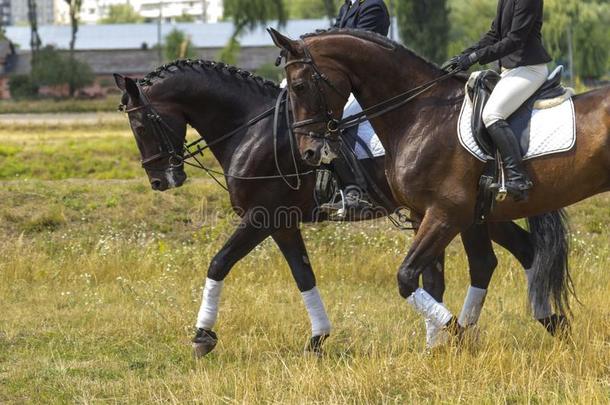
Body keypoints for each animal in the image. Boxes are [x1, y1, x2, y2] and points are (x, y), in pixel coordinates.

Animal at [272, 27, 608, 326]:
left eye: (299, 86)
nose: (309, 153)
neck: (420, 115)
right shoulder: (424, 214)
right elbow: (430, 283)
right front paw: (441, 346)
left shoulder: (446, 214)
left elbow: (407, 277)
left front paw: (456, 336)